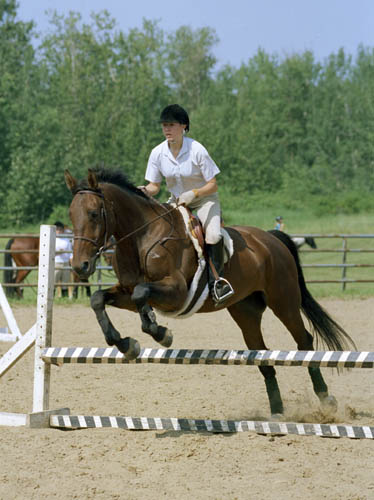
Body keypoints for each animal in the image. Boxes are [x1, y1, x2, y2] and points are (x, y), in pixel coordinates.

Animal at [65, 168, 356, 418]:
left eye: (93, 213)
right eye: (71, 215)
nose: (80, 266)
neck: (142, 238)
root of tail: (271, 238)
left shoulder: (177, 292)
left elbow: (141, 293)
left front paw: (161, 333)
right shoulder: (125, 291)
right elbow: (100, 298)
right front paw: (126, 343)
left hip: (283, 301)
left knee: (304, 341)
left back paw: (326, 401)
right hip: (245, 312)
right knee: (261, 354)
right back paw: (277, 412)